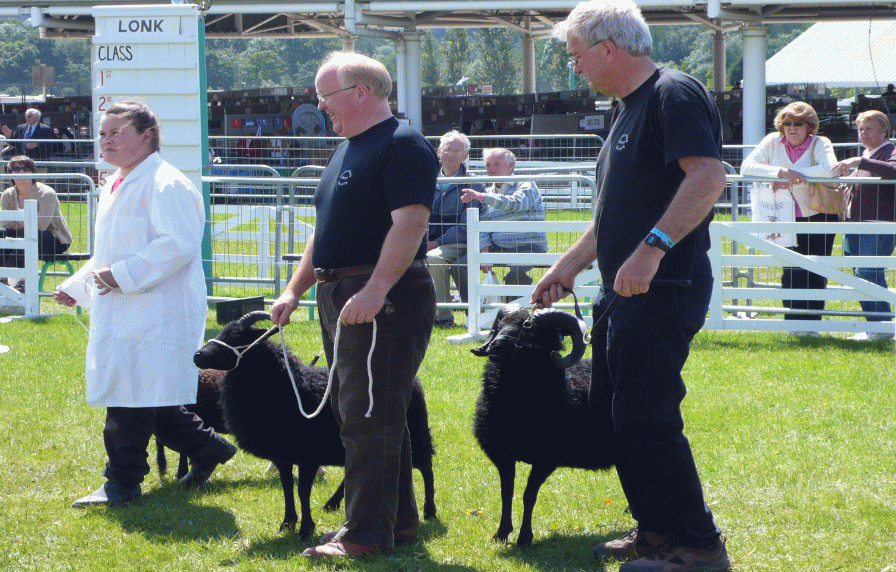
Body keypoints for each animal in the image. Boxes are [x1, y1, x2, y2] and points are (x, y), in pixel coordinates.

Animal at [192, 310, 438, 540]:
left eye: (235, 336)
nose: (197, 356)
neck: (286, 385)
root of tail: (414, 379)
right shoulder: (283, 455)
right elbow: (287, 487)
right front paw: (287, 523)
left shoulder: (308, 455)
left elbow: (302, 490)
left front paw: (305, 529)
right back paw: (333, 503)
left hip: (417, 431)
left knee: (426, 467)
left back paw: (430, 510)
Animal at [472, 306, 612, 548]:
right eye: (499, 326)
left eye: (529, 332)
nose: (496, 347)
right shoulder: (502, 456)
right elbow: (506, 493)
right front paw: (501, 533)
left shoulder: (546, 459)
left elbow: (529, 496)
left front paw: (524, 538)